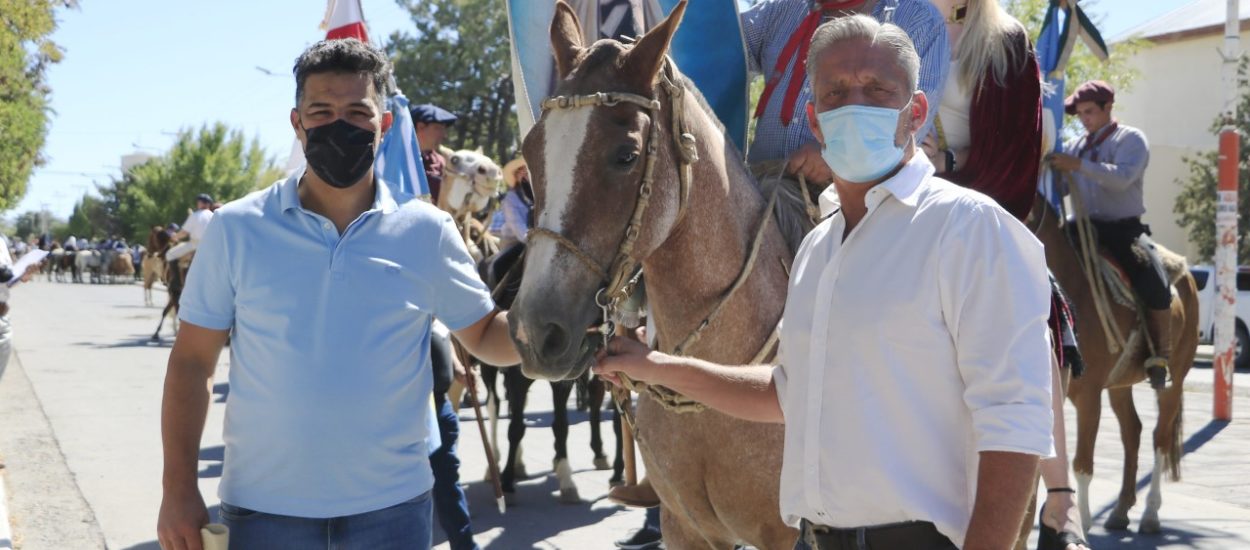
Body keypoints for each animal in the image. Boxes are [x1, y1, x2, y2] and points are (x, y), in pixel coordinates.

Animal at [1030, 195, 1195, 532]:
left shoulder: (1088, 395)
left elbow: (1081, 464)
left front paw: (1081, 523)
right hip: (1120, 385)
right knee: (1133, 431)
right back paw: (1120, 510)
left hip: (1174, 380)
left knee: (1160, 439)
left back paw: (1150, 514)